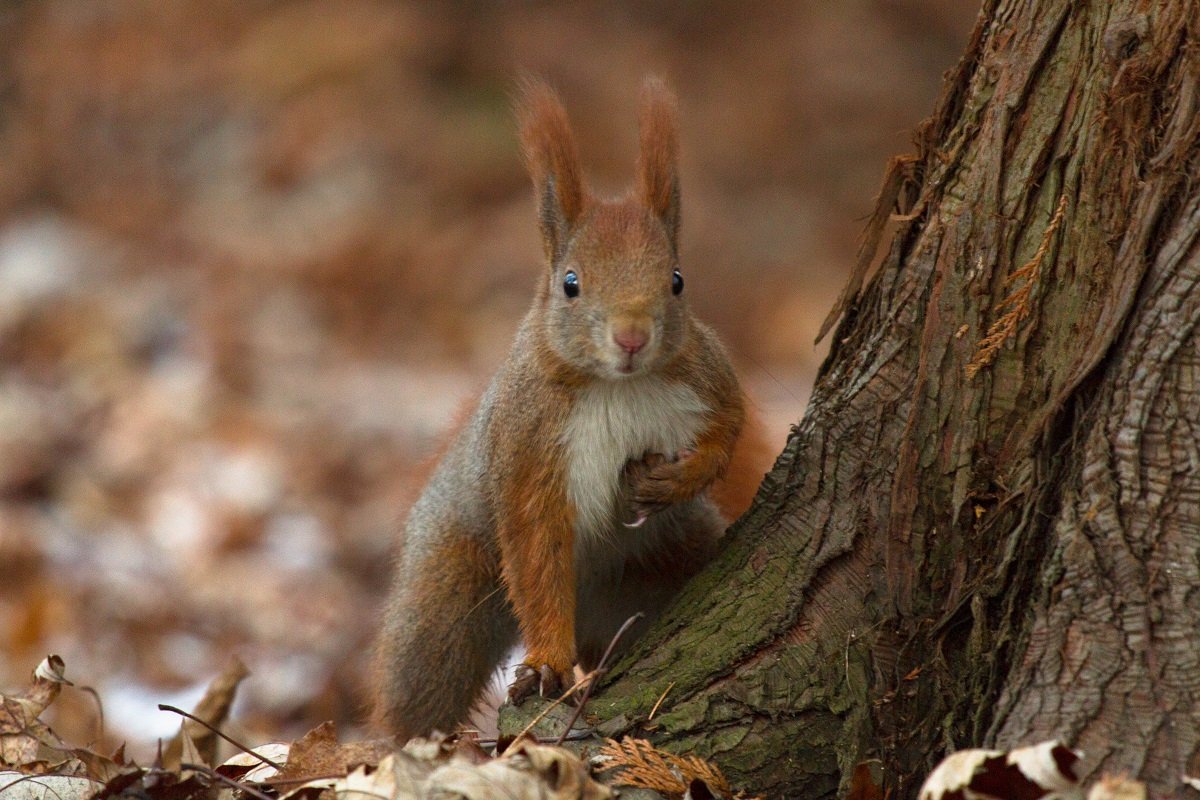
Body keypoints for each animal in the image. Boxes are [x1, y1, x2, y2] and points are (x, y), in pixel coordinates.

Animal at [369, 77, 772, 743]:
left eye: (677, 280)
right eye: (571, 283)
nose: (632, 337)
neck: (616, 385)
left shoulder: (711, 379)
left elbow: (725, 435)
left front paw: (671, 479)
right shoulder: (528, 447)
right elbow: (536, 548)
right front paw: (546, 666)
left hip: (670, 558)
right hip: (448, 592)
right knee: (422, 678)